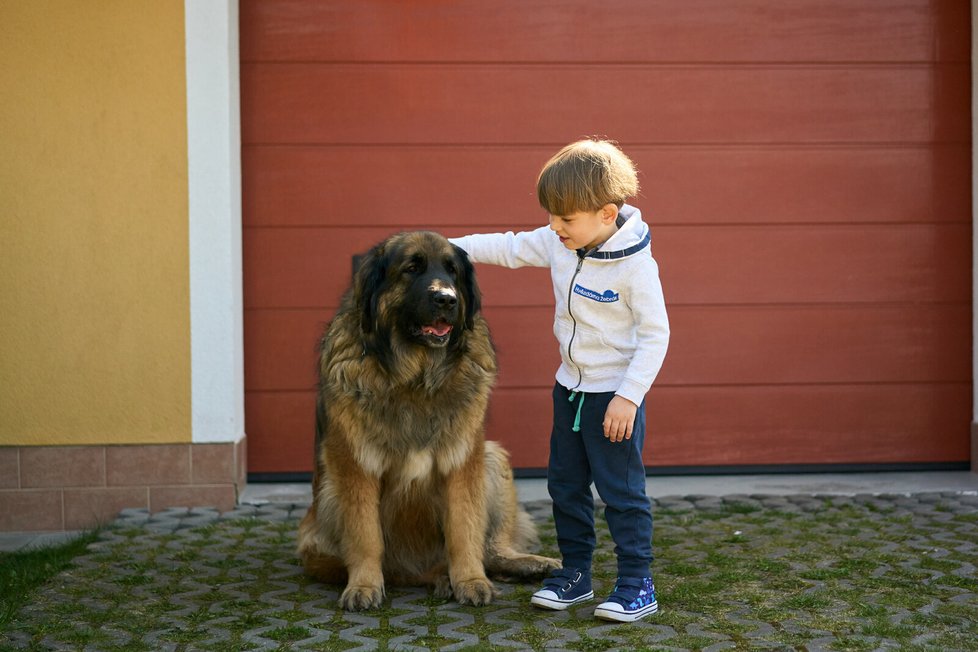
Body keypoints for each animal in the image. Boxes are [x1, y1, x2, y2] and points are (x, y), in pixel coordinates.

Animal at [296, 230, 556, 612]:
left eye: (452, 272)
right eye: (411, 268)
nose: (446, 299)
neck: (414, 377)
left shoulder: (463, 460)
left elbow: (464, 528)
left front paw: (471, 581)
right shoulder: (355, 465)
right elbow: (365, 534)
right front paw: (364, 585)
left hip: (492, 459)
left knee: (492, 548)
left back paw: (524, 565)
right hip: (326, 504)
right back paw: (437, 577)